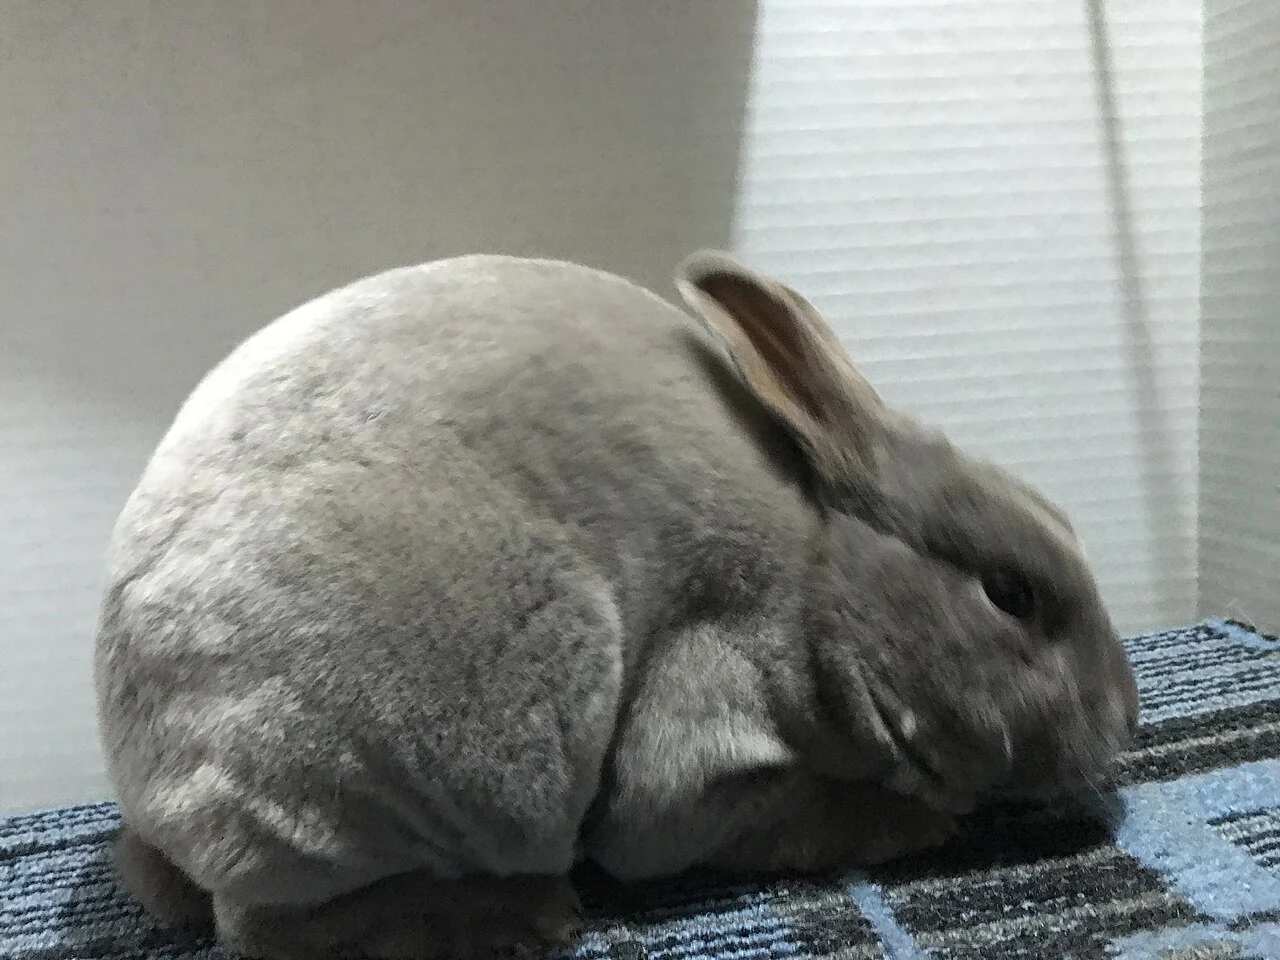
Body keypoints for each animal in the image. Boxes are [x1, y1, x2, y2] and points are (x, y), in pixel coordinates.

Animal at [95, 250, 1140, 960]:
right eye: (1011, 593)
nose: (1126, 720)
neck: (818, 583)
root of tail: (144, 780)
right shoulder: (703, 732)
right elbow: (747, 817)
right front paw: (917, 824)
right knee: (265, 923)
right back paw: (525, 915)